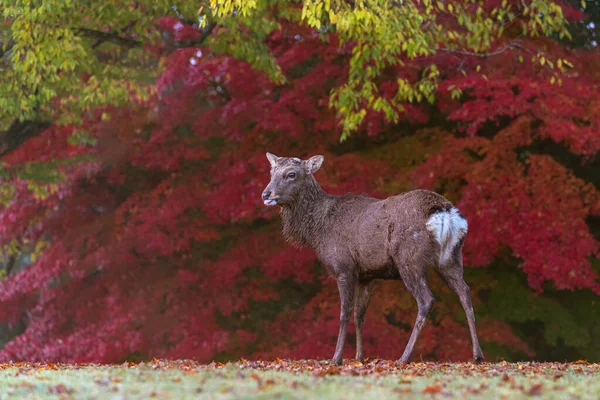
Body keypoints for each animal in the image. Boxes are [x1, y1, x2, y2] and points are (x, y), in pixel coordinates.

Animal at [260, 153, 486, 366]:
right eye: (271, 172)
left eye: (291, 174)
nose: (266, 194)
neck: (317, 231)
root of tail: (445, 212)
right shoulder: (367, 275)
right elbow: (359, 315)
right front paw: (359, 357)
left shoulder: (344, 267)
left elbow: (344, 312)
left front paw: (336, 358)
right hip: (451, 258)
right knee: (465, 293)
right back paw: (477, 355)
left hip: (409, 259)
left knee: (426, 300)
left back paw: (404, 357)